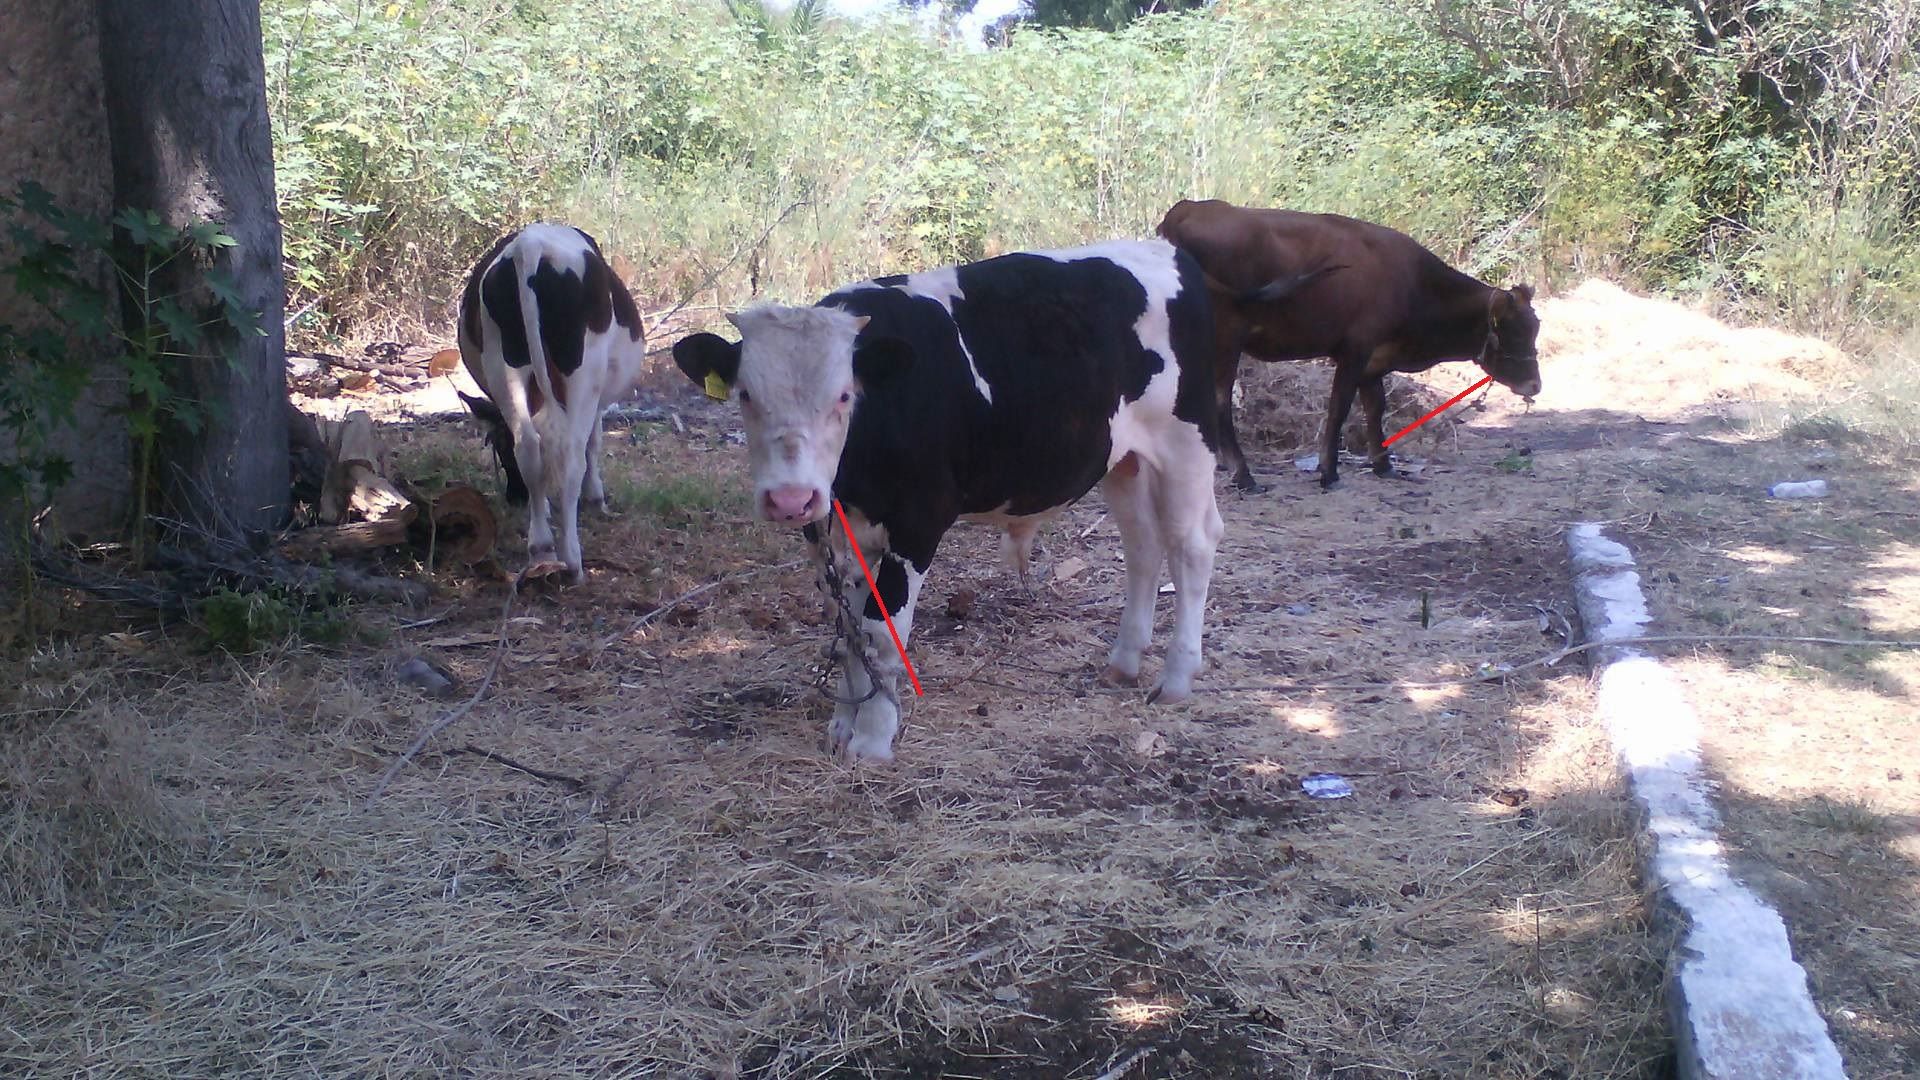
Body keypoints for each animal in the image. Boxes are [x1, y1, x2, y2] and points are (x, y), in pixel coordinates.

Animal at [455, 223, 647, 583]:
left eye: (497, 447)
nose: (514, 497)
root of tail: (530, 245)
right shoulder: (596, 401)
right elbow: (594, 443)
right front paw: (596, 497)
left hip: (504, 362)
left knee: (529, 445)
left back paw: (541, 546)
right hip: (584, 369)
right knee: (571, 454)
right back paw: (572, 560)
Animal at [671, 240, 1223, 762]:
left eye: (845, 396)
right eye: (745, 394)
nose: (791, 498)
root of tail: (1168, 250)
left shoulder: (919, 522)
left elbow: (881, 632)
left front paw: (873, 739)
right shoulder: (830, 533)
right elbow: (849, 630)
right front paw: (843, 725)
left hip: (1187, 441)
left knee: (1192, 546)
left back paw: (1175, 679)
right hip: (1123, 459)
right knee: (1142, 546)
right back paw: (1124, 662)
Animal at [1156, 199, 1543, 492]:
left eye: (1535, 327)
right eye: (1514, 331)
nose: (1535, 384)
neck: (1415, 286)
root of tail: (1187, 209)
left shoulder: (1375, 360)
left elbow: (1375, 408)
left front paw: (1383, 465)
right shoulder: (1355, 349)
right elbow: (1340, 407)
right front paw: (1329, 471)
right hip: (1225, 338)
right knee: (1219, 400)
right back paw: (1243, 474)